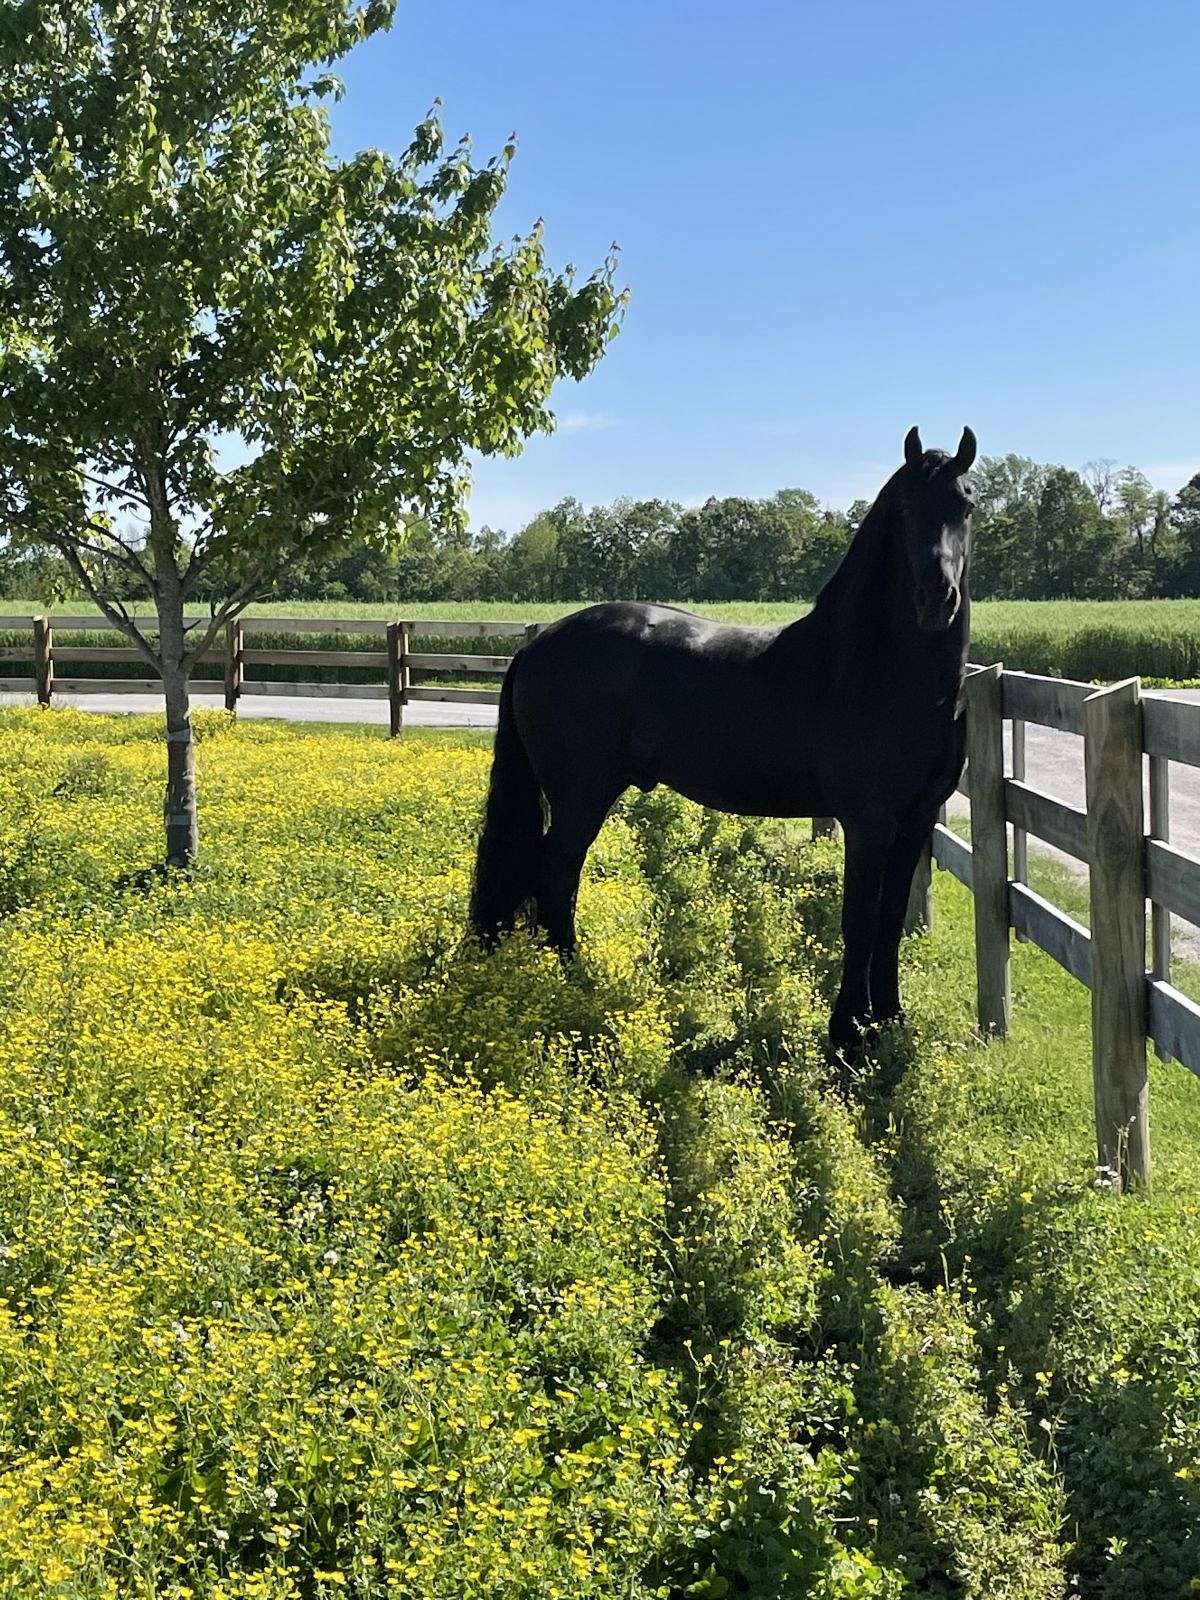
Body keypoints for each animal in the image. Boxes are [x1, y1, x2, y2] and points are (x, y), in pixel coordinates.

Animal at [470, 428, 979, 1049]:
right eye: (905, 509)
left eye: (966, 505)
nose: (937, 598)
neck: (875, 673)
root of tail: (537, 644)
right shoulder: (869, 822)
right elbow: (858, 920)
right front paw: (846, 1036)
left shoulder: (915, 822)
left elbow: (888, 920)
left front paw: (887, 1020)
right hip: (581, 795)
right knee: (556, 872)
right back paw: (574, 983)